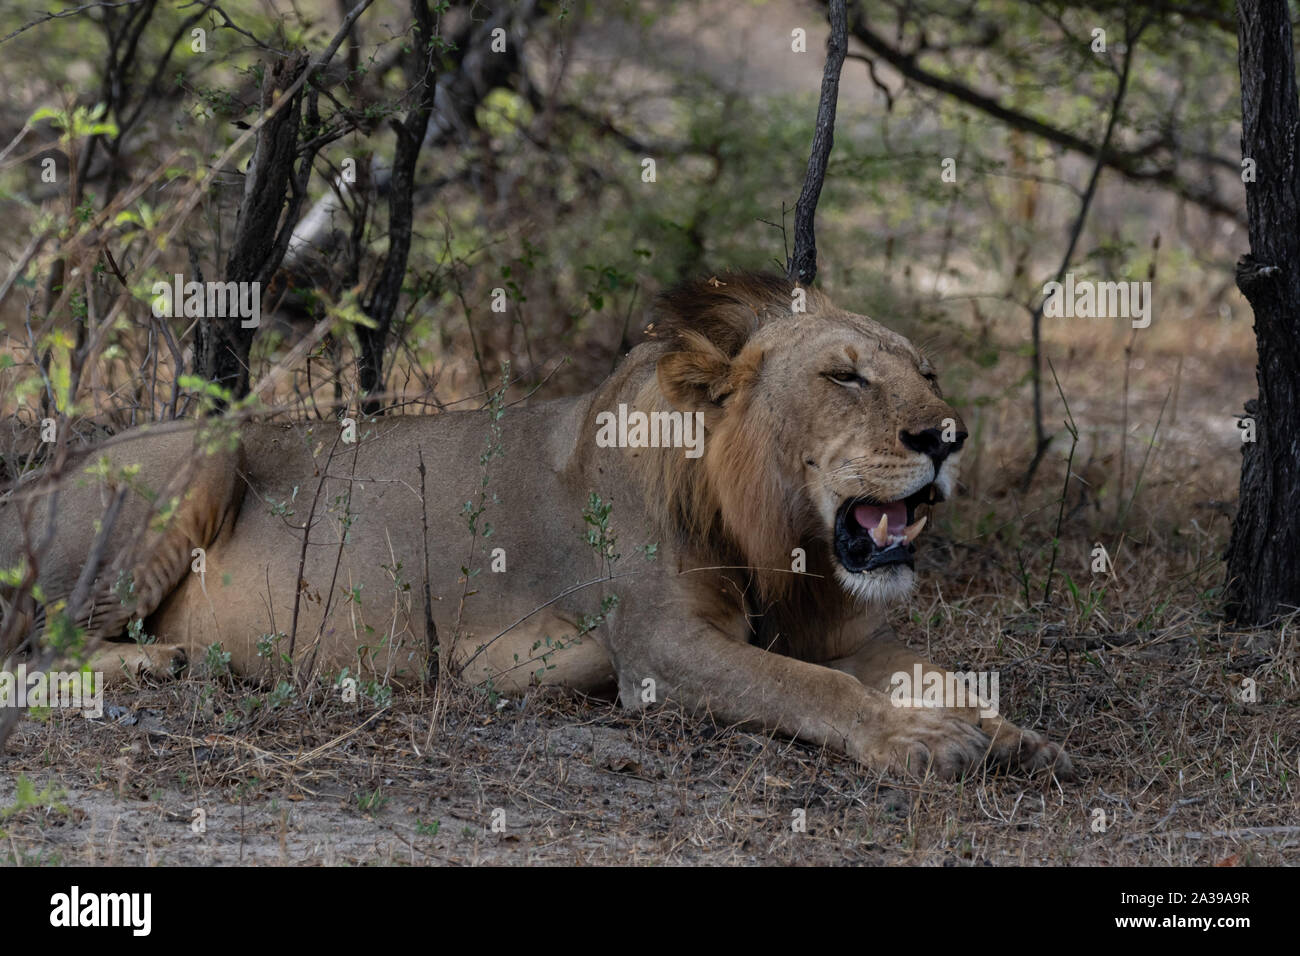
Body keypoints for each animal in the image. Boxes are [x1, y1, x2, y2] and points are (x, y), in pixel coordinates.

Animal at [0, 273, 1070, 779]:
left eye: (926, 372)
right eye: (844, 376)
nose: (946, 435)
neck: (772, 539)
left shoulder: (826, 625)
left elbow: (923, 666)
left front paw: (1001, 730)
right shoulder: (660, 652)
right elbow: (814, 689)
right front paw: (922, 741)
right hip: (200, 450)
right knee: (29, 649)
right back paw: (155, 663)